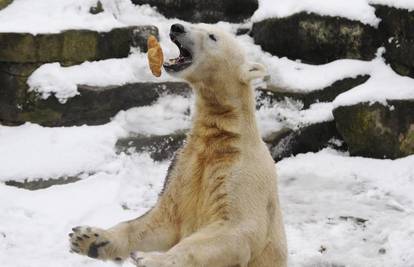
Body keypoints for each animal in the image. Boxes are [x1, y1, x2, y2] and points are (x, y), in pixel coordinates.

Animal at [68, 23, 288, 267]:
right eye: (198, 25)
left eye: (212, 36)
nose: (177, 27)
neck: (221, 137)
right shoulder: (184, 168)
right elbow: (160, 220)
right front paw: (89, 238)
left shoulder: (244, 174)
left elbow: (236, 229)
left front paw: (150, 259)